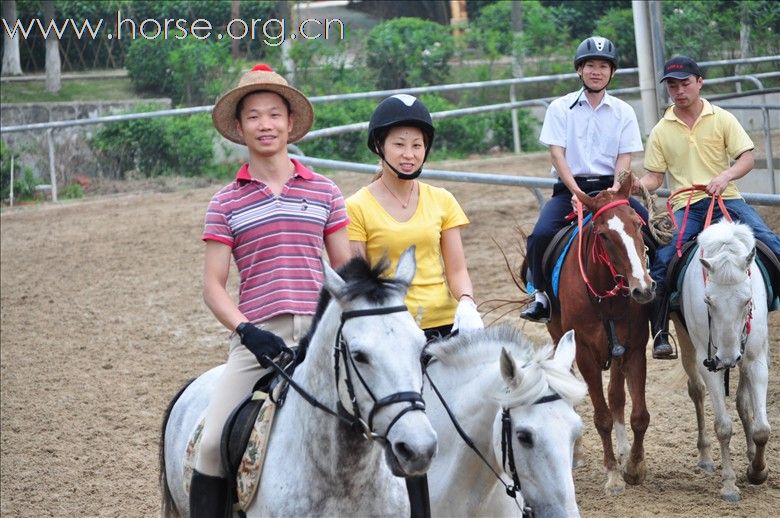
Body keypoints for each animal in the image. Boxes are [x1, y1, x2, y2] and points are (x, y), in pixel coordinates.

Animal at [544, 178, 656, 496]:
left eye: (638, 224)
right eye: (604, 235)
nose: (643, 289)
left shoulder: (633, 349)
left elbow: (638, 415)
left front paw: (633, 467)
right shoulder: (584, 354)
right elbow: (602, 417)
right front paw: (613, 476)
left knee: (617, 396)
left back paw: (623, 450)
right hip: (559, 337)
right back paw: (578, 453)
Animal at [672, 220, 772, 504]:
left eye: (748, 299)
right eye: (707, 300)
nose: (727, 358)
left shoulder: (756, 359)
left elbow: (762, 429)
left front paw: (757, 471)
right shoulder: (709, 364)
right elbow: (723, 427)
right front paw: (729, 485)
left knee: (743, 402)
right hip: (686, 344)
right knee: (696, 391)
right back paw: (705, 458)